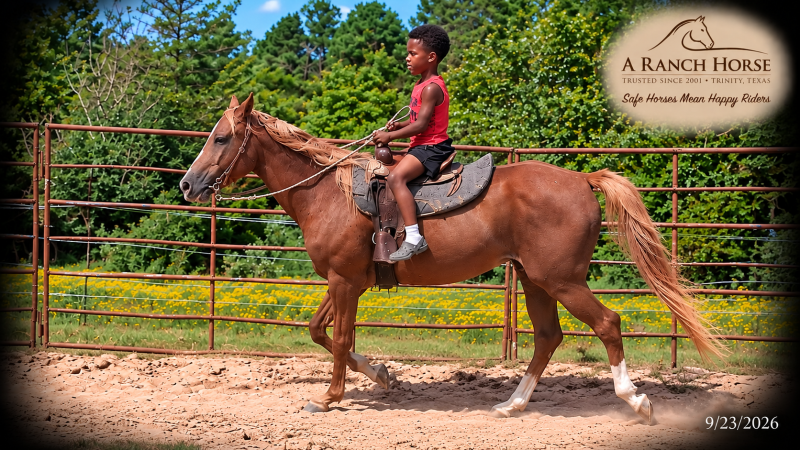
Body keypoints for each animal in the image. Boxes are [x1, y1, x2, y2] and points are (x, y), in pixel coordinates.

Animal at [180, 93, 724, 422]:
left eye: (222, 138)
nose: (187, 184)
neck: (328, 193)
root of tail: (582, 179)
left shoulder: (343, 281)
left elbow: (339, 339)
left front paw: (329, 398)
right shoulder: (345, 280)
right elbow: (318, 331)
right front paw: (383, 375)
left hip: (563, 279)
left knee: (607, 323)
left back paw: (636, 400)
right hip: (534, 279)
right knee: (548, 337)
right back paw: (511, 404)